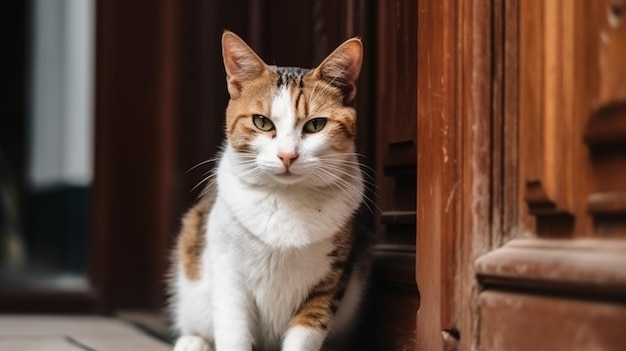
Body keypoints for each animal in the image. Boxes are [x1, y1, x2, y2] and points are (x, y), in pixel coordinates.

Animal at [168, 31, 368, 351]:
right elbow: (233, 328)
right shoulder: (226, 266)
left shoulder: (329, 280)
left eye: (316, 125)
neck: (284, 199)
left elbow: (305, 334)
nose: (287, 155)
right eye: (262, 122)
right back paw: (193, 342)